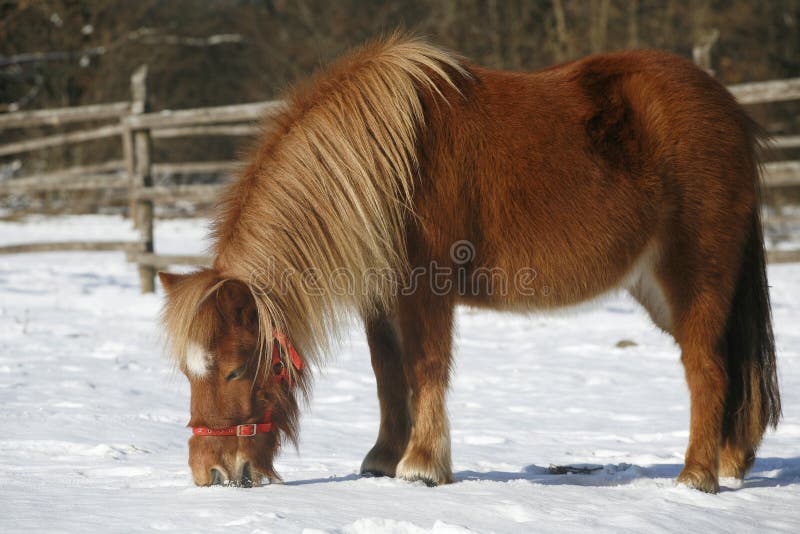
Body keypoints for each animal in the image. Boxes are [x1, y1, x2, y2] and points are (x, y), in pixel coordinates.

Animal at [158, 33, 780, 494]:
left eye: (234, 369)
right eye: (187, 373)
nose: (211, 472)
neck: (386, 164)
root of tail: (730, 112)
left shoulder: (425, 288)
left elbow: (425, 367)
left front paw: (422, 466)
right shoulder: (380, 297)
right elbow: (388, 373)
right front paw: (383, 458)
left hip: (695, 278)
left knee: (707, 368)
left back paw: (696, 476)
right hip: (655, 288)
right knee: (728, 368)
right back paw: (729, 462)